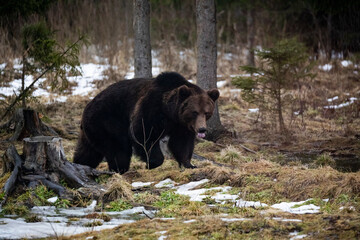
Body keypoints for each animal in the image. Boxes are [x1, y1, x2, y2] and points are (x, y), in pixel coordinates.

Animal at [74, 71, 219, 172]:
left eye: (207, 112)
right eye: (194, 112)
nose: (202, 129)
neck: (170, 112)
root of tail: (87, 107)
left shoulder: (181, 125)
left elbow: (181, 143)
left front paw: (189, 164)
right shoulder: (151, 107)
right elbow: (142, 133)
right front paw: (152, 163)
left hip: (91, 130)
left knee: (87, 151)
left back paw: (80, 164)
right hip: (107, 121)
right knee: (119, 149)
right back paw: (119, 169)